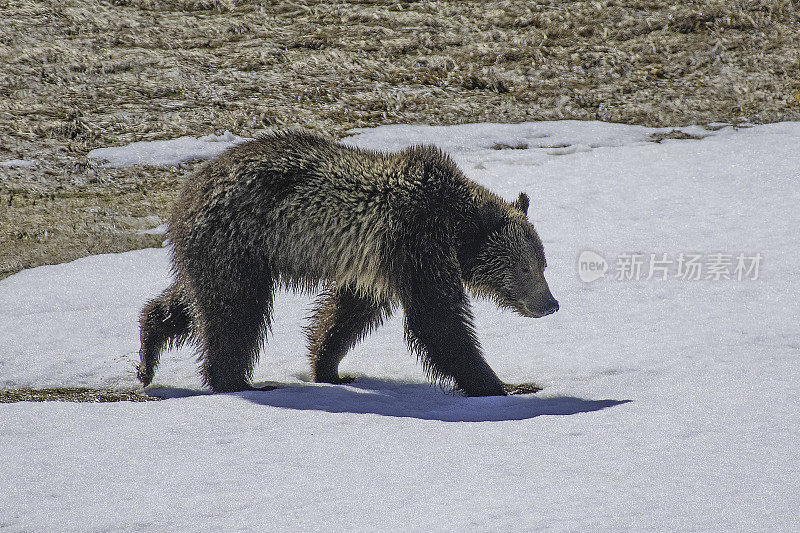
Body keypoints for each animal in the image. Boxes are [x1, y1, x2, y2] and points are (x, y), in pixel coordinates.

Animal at [138, 130, 560, 394]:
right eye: (525, 267)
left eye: (543, 264)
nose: (550, 303)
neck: (454, 225)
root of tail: (189, 187)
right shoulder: (416, 241)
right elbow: (437, 318)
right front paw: (501, 385)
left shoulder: (377, 265)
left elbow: (347, 313)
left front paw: (329, 368)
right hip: (240, 240)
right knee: (235, 311)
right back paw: (237, 380)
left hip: (220, 250)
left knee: (194, 300)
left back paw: (148, 350)